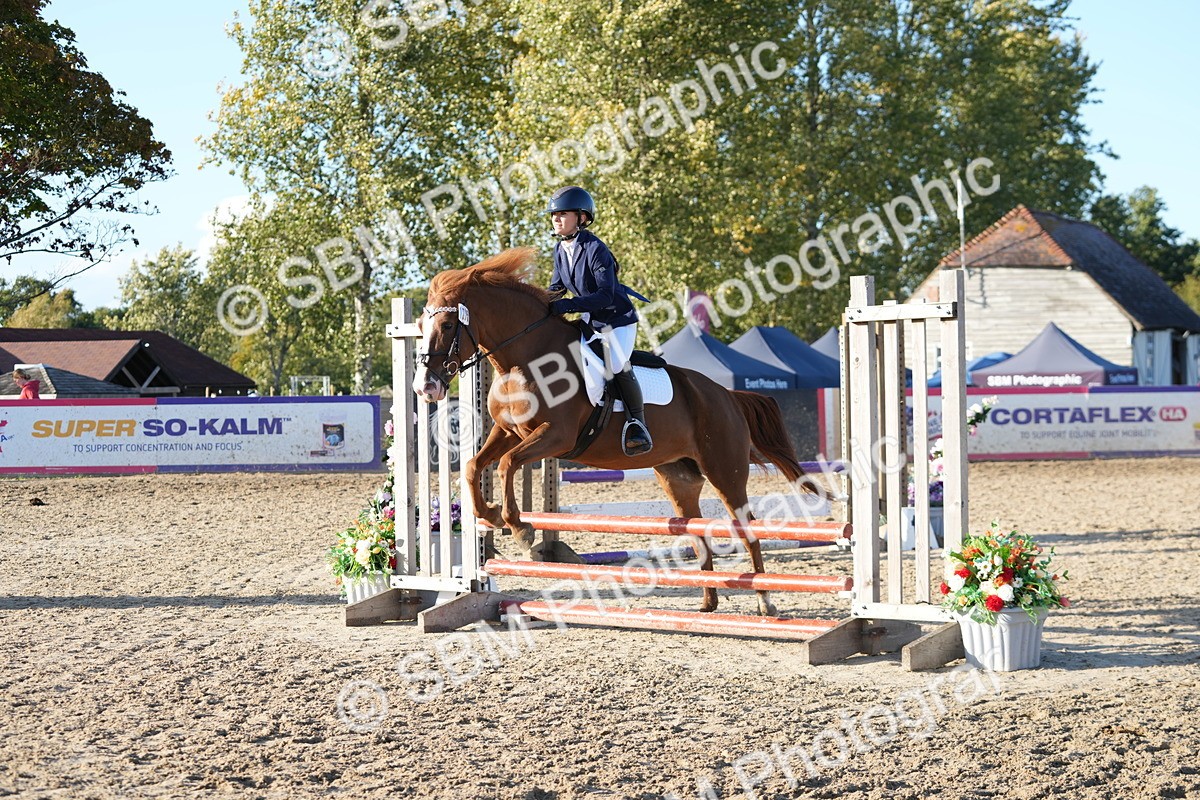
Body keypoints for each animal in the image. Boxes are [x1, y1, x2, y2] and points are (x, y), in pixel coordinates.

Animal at [413, 248, 812, 616]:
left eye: (446, 326)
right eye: (420, 326)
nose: (425, 387)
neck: (524, 360)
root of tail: (727, 394)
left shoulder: (555, 436)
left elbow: (507, 464)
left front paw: (520, 528)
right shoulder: (509, 431)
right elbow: (474, 466)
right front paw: (490, 514)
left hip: (725, 471)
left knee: (747, 527)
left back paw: (765, 601)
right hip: (679, 478)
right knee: (697, 529)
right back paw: (708, 601)